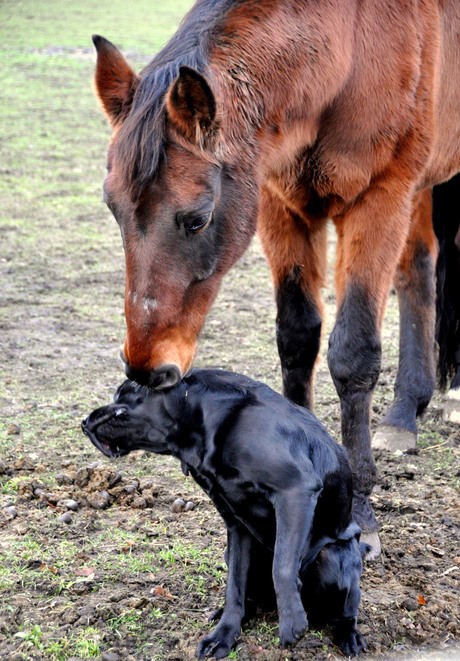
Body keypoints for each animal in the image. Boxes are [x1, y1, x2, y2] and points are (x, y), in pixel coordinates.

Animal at [81, 368, 364, 656]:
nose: (83, 422)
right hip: (234, 554)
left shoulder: (295, 490)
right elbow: (234, 588)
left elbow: (282, 566)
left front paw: (292, 622)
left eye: (123, 396)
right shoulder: (236, 525)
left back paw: (348, 636)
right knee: (249, 596)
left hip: (335, 558)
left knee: (345, 613)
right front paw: (223, 636)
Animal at [92, 1, 460, 556]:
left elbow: (353, 353)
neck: (348, 51)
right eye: (112, 210)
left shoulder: (379, 196)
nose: (146, 366)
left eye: (197, 218)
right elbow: (297, 339)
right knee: (417, 266)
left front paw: (361, 513)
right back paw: (403, 415)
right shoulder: (278, 201)